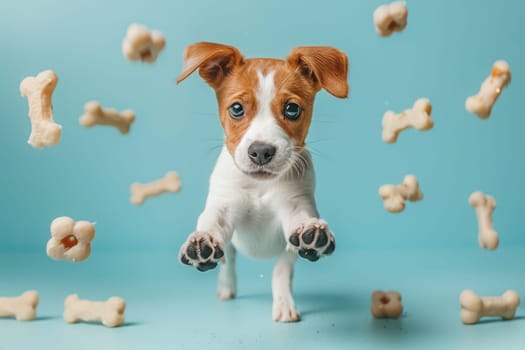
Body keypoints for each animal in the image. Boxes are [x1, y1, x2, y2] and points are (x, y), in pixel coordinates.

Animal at [176, 42, 348, 322]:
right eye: (237, 109)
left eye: (292, 109)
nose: (260, 151)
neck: (260, 186)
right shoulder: (224, 205)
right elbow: (212, 224)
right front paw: (202, 241)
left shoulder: (295, 207)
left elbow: (282, 268)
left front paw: (312, 235)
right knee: (229, 260)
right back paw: (225, 287)